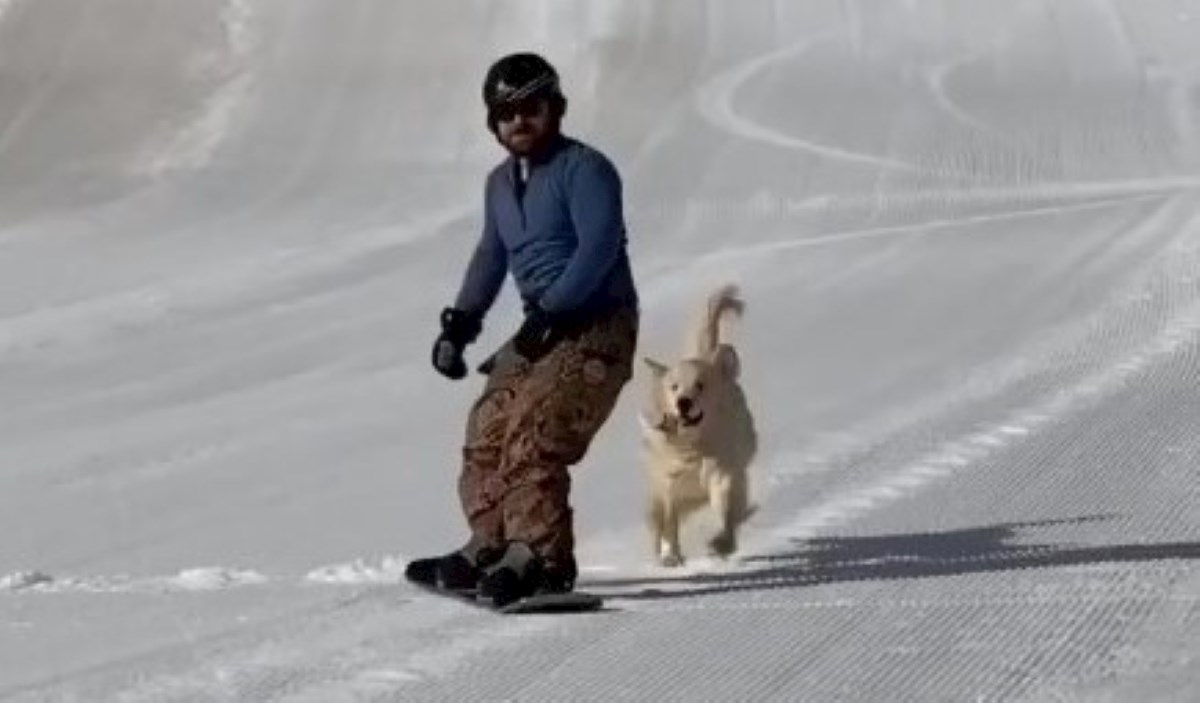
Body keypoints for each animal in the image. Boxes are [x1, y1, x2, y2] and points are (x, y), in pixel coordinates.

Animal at [643, 283, 753, 563]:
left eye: (700, 385)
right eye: (674, 387)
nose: (683, 402)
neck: (693, 446)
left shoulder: (723, 472)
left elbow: (725, 506)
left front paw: (722, 543)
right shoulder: (670, 482)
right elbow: (668, 517)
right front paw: (669, 554)